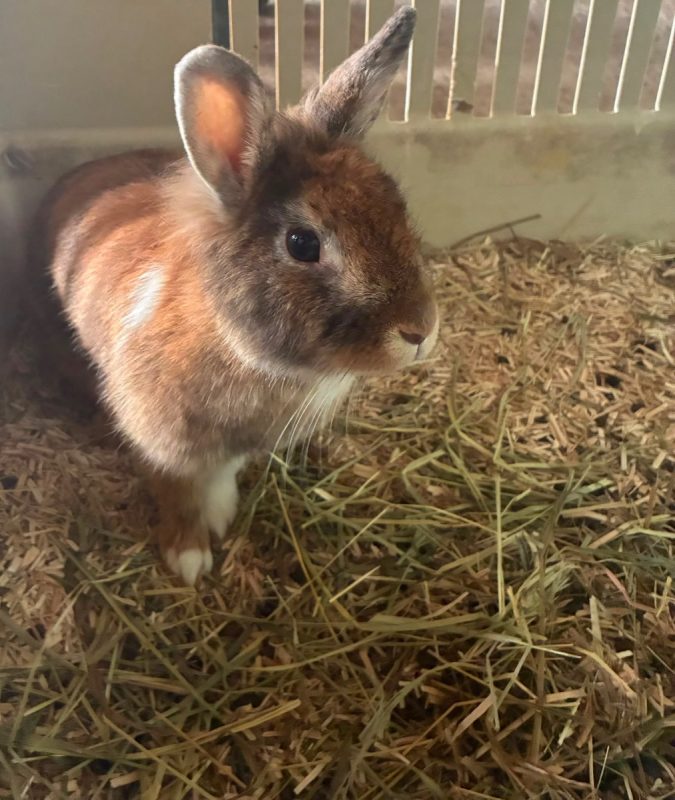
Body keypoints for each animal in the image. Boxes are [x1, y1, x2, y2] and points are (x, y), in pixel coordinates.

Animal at [32, 7, 438, 586]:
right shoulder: (161, 445)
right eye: (302, 244)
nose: (421, 330)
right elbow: (177, 494)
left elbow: (222, 475)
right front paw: (189, 559)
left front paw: (221, 514)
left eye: (397, 205)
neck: (245, 353)